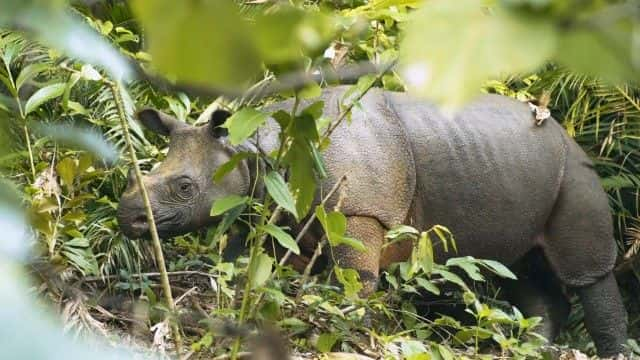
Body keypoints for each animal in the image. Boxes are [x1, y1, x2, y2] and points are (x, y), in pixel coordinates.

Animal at [117, 86, 628, 356]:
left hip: (577, 169)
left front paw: (342, 337)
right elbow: (252, 273)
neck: (256, 146)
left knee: (586, 270)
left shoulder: (359, 209)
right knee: (523, 270)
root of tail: (565, 131)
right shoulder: (270, 214)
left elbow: (355, 282)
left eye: (185, 187)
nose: (128, 217)